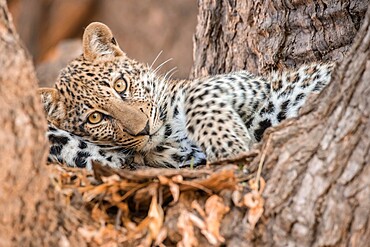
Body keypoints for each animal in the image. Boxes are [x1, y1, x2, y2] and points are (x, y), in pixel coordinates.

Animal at [38, 22, 336, 169]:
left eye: (120, 85)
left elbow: (196, 92)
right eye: (95, 118)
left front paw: (231, 144)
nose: (143, 129)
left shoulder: (250, 82)